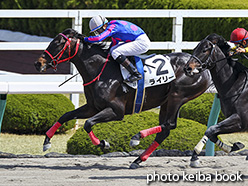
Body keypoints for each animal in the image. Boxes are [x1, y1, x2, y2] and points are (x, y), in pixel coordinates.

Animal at [34, 28, 210, 169]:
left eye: (58, 43)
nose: (38, 63)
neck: (101, 71)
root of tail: (202, 67)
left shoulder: (116, 111)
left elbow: (88, 123)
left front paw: (103, 143)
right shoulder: (92, 107)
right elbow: (66, 116)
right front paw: (46, 141)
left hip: (177, 96)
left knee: (170, 125)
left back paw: (137, 138)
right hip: (166, 102)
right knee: (164, 130)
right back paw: (138, 160)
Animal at [184, 33, 246, 167]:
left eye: (204, 50)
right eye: (194, 48)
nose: (187, 68)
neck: (235, 85)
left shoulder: (240, 120)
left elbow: (210, 129)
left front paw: (195, 156)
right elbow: (212, 132)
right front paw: (235, 146)